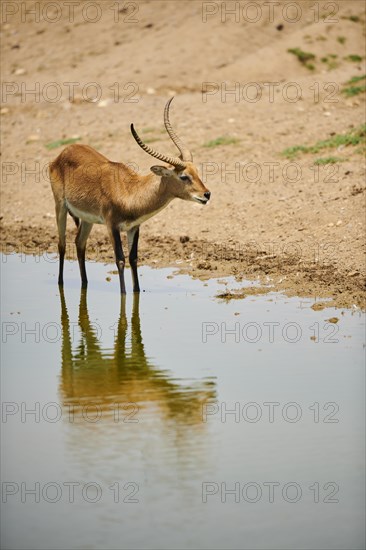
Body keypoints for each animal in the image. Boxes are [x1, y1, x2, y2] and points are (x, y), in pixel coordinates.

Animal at [49, 101, 210, 296]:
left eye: (197, 171)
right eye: (184, 176)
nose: (206, 194)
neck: (130, 191)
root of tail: (64, 152)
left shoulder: (134, 227)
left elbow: (133, 258)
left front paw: (137, 291)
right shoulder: (112, 226)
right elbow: (120, 260)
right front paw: (124, 294)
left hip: (87, 219)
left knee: (80, 244)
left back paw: (84, 283)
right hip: (60, 207)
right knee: (62, 244)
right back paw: (60, 283)